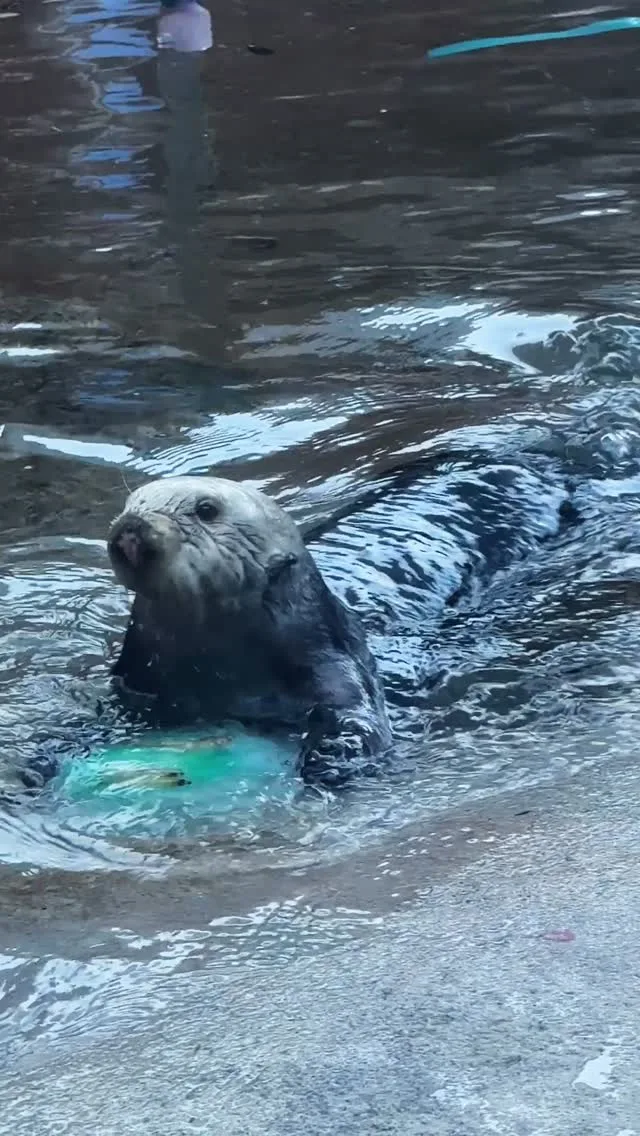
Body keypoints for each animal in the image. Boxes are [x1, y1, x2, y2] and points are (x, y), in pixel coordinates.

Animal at [107, 476, 392, 787]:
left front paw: (330, 756)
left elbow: (356, 715)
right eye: (130, 503)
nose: (132, 522)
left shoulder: (333, 664)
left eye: (206, 510)